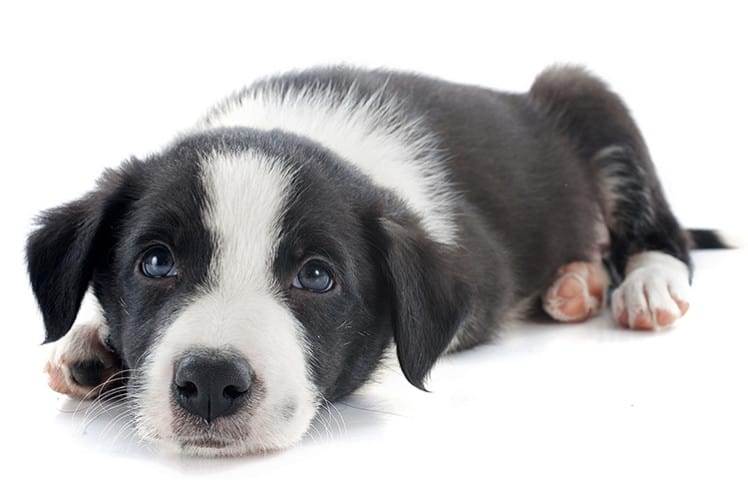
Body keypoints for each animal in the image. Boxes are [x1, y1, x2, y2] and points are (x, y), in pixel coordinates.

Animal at [29, 65, 700, 456]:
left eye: (316, 277)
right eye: (155, 263)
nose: (213, 383)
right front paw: (90, 341)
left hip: (587, 95)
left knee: (666, 237)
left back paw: (646, 286)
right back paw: (576, 285)